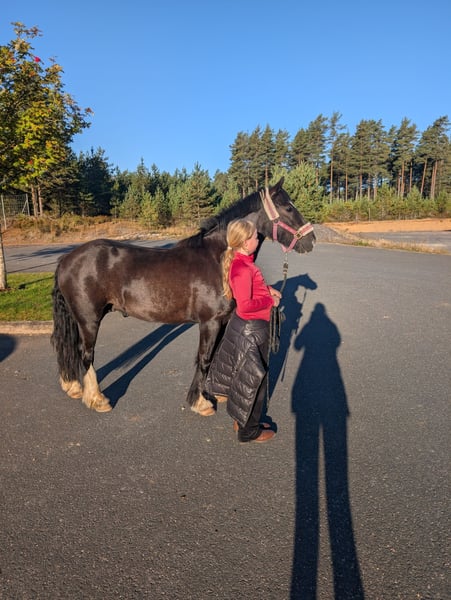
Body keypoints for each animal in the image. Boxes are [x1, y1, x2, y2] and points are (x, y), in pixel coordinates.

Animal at [51, 178, 315, 415]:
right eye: (288, 207)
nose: (311, 240)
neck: (217, 258)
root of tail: (66, 259)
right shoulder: (210, 322)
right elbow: (205, 358)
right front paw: (200, 402)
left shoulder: (222, 322)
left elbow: (214, 357)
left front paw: (209, 394)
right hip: (89, 319)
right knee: (85, 353)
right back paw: (97, 399)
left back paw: (73, 386)